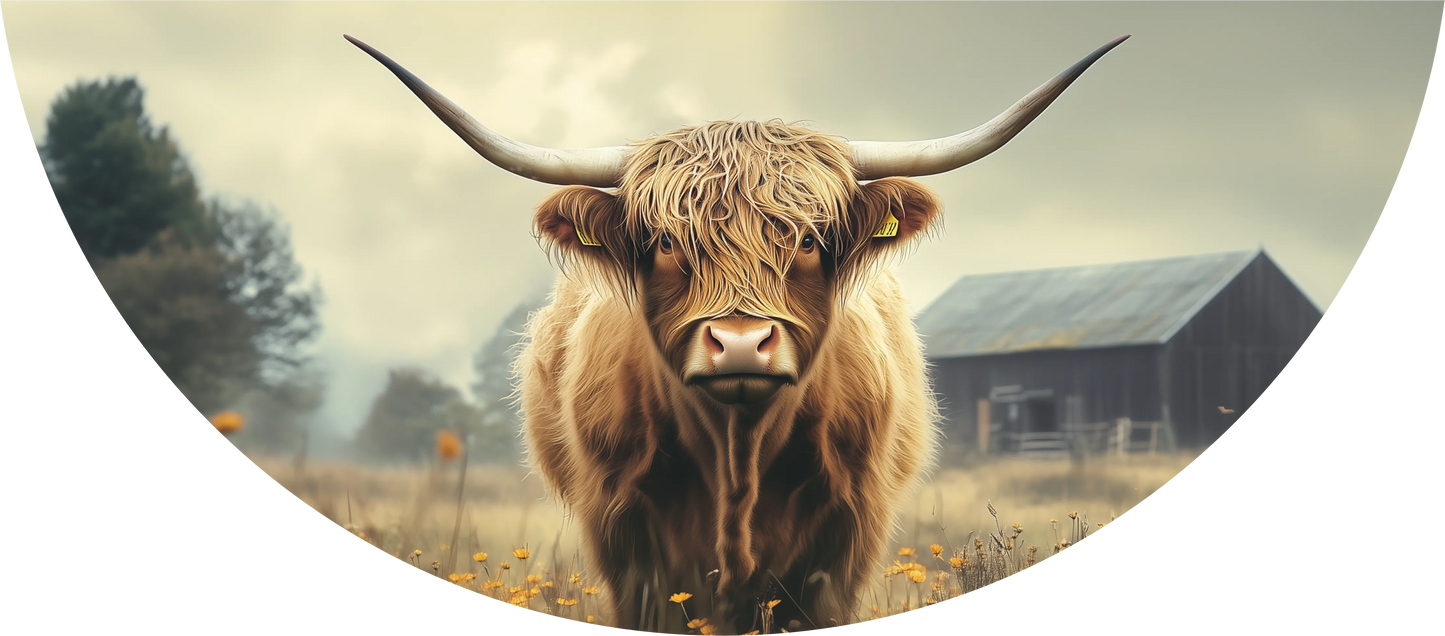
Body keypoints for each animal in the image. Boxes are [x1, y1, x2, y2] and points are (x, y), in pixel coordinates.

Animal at [346, 33, 1128, 634]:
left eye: (809, 239)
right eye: (665, 241)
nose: (743, 344)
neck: (738, 456)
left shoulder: (844, 542)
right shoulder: (627, 540)